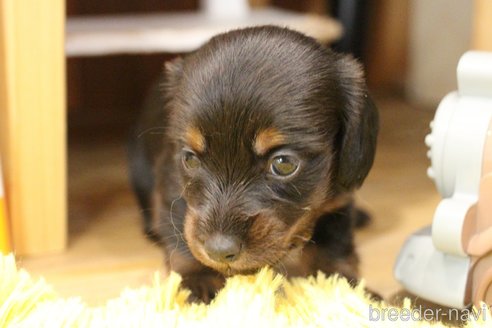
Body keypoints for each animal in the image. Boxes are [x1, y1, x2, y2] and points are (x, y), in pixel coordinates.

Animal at [129, 25, 378, 302]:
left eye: (284, 163)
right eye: (190, 159)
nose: (219, 250)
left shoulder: (339, 200)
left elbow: (335, 246)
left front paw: (346, 288)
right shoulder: (171, 189)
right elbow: (179, 235)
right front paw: (199, 280)